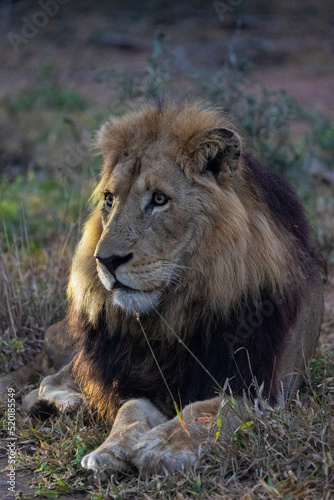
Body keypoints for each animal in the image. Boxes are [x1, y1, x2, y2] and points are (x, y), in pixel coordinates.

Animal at [1, 99, 324, 474]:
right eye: (109, 199)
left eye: (158, 199)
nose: (106, 260)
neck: (176, 313)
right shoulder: (141, 381)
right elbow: (130, 410)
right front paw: (110, 449)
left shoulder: (264, 390)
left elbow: (211, 409)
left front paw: (162, 445)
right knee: (45, 381)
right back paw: (73, 400)